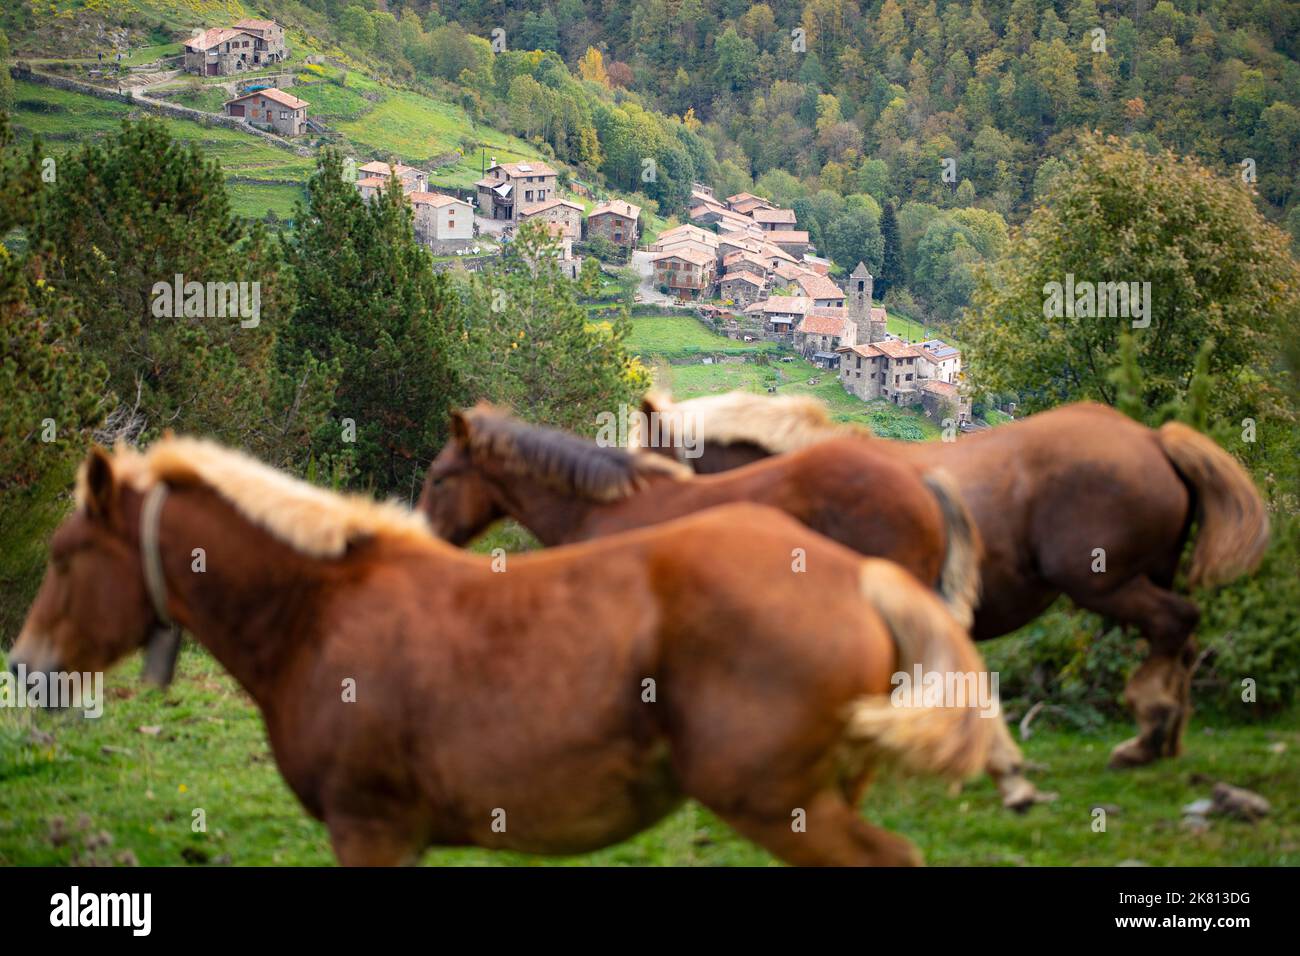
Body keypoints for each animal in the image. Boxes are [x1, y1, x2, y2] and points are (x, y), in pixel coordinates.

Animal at [633, 391, 1271, 770]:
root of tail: (1153, 439)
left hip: (1106, 584)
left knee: (1174, 625)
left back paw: (1148, 735)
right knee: (1181, 637)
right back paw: (1164, 739)